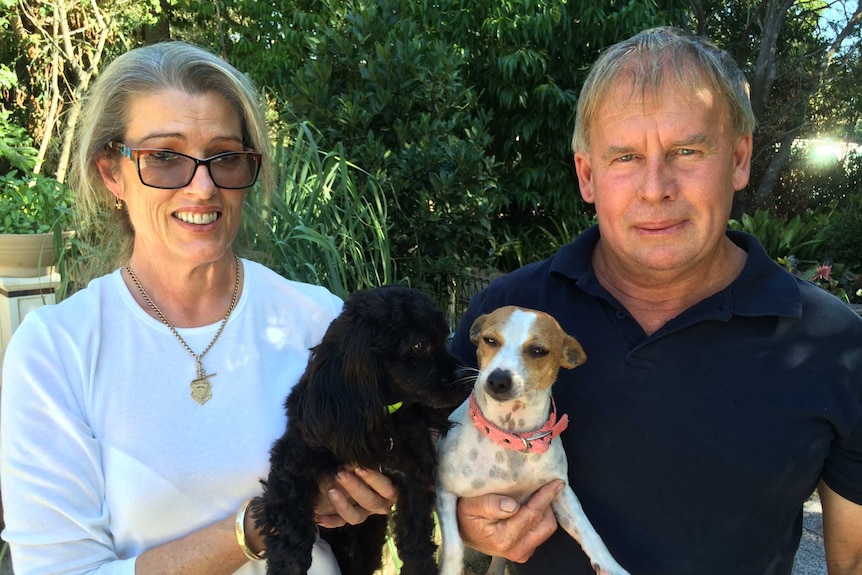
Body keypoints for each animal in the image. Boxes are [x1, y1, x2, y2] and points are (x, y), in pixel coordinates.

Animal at [256, 286, 470, 575]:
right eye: (420, 345)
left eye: (444, 336)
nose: (467, 376)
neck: (384, 417)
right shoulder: (293, 464)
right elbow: (290, 533)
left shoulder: (413, 478)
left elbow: (416, 541)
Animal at [436, 306, 632, 575]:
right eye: (490, 340)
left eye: (538, 351)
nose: (498, 379)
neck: (511, 436)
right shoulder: (445, 492)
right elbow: (453, 545)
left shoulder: (561, 490)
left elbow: (589, 531)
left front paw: (612, 566)